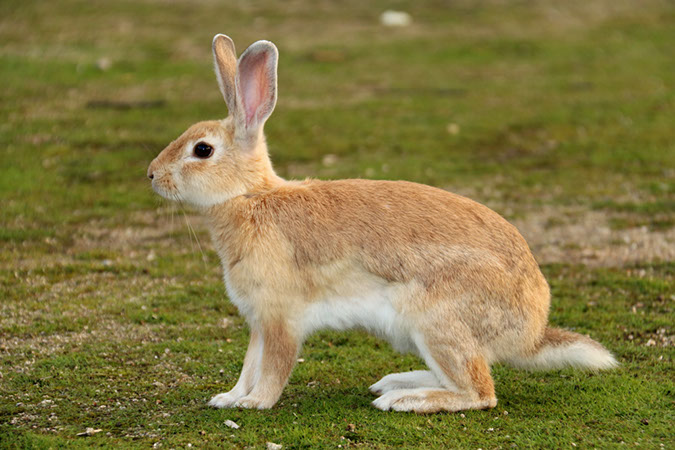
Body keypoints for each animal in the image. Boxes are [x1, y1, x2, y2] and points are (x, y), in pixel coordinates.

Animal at [147, 34, 617, 413]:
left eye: (202, 150)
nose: (151, 174)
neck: (251, 197)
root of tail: (531, 331)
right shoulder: (258, 320)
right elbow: (249, 363)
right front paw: (228, 397)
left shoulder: (281, 317)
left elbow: (274, 367)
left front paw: (254, 403)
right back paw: (393, 383)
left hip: (435, 321)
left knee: (479, 391)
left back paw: (404, 400)